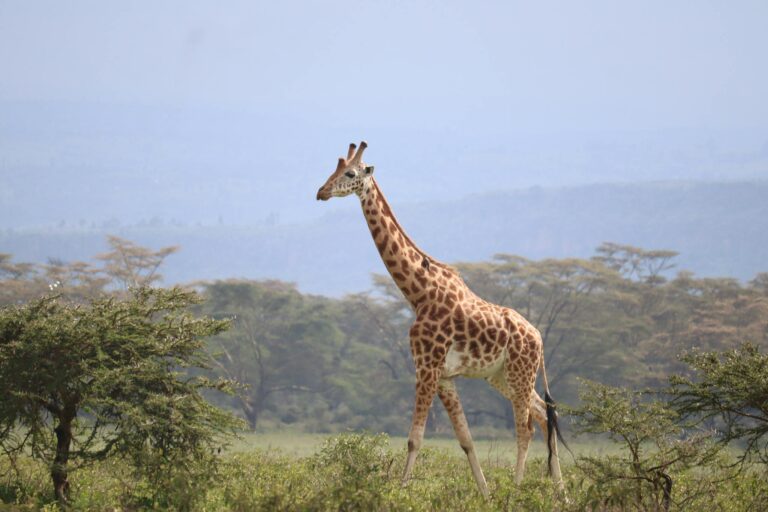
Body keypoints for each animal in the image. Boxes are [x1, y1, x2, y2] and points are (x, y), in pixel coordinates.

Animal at [316, 142, 565, 497]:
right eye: (333, 168)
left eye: (350, 173)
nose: (321, 192)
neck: (419, 293)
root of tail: (540, 338)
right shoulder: (445, 376)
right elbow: (466, 440)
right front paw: (485, 495)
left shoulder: (426, 367)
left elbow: (414, 439)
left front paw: (399, 493)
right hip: (502, 376)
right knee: (546, 415)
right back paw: (563, 493)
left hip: (520, 373)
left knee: (526, 428)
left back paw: (517, 491)